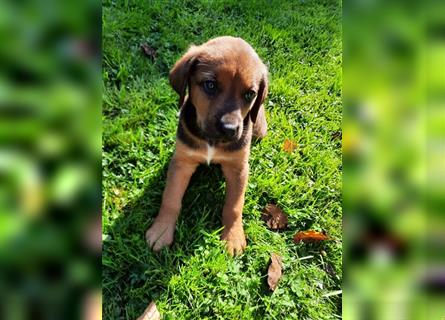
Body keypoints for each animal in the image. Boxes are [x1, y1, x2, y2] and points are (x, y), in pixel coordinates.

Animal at [146, 35, 268, 255]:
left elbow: (234, 205)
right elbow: (170, 199)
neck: (211, 141)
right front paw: (161, 231)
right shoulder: (182, 162)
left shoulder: (238, 168)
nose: (230, 129)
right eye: (210, 85)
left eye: (249, 94)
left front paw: (233, 237)